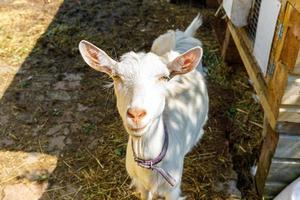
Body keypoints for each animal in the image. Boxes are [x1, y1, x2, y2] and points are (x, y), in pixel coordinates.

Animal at [78, 13, 207, 198]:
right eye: (116, 76)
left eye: (164, 77)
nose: (136, 114)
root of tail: (184, 35)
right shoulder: (141, 186)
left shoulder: (173, 190)